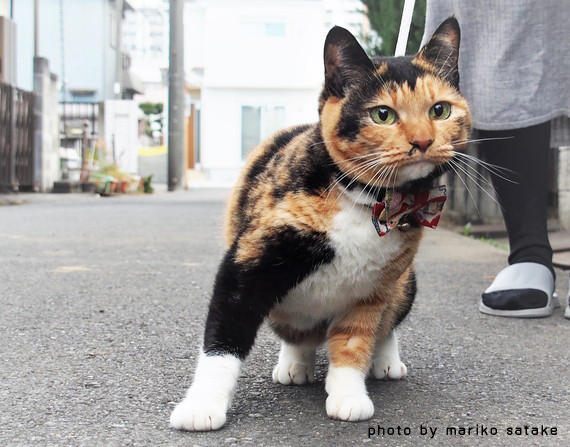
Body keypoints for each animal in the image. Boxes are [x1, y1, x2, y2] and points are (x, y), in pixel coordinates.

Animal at [170, 18, 470, 434]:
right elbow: (224, 335)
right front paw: (202, 405)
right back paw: (294, 364)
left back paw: (385, 360)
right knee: (296, 333)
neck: (366, 202)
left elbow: (354, 342)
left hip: (405, 282)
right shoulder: (248, 264)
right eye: (383, 114)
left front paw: (348, 395)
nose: (423, 141)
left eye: (440, 110)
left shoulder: (371, 290)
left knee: (386, 324)